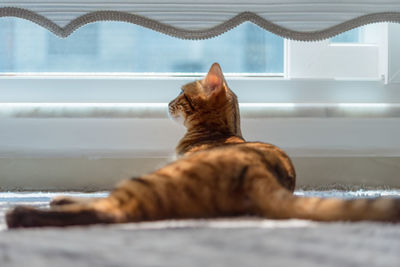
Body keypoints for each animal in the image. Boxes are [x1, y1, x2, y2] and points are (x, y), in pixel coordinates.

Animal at [6, 62, 400, 228]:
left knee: (116, 209)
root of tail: (262, 170)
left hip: (154, 179)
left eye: (180, 95)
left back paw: (27, 213)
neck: (219, 132)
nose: (165, 102)